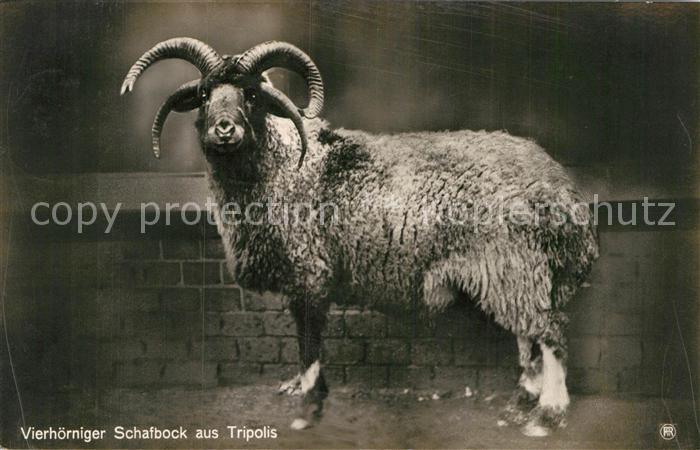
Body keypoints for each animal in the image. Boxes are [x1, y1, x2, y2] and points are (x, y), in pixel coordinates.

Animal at [121, 37, 599, 436]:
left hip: (513, 265)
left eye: (252, 95)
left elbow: (309, 346)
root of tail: (560, 189)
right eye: (204, 94)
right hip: (518, 271)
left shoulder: (310, 273)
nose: (223, 129)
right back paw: (522, 403)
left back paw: (546, 416)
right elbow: (307, 346)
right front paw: (307, 394)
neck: (287, 168)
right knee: (529, 336)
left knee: (550, 334)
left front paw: (307, 405)